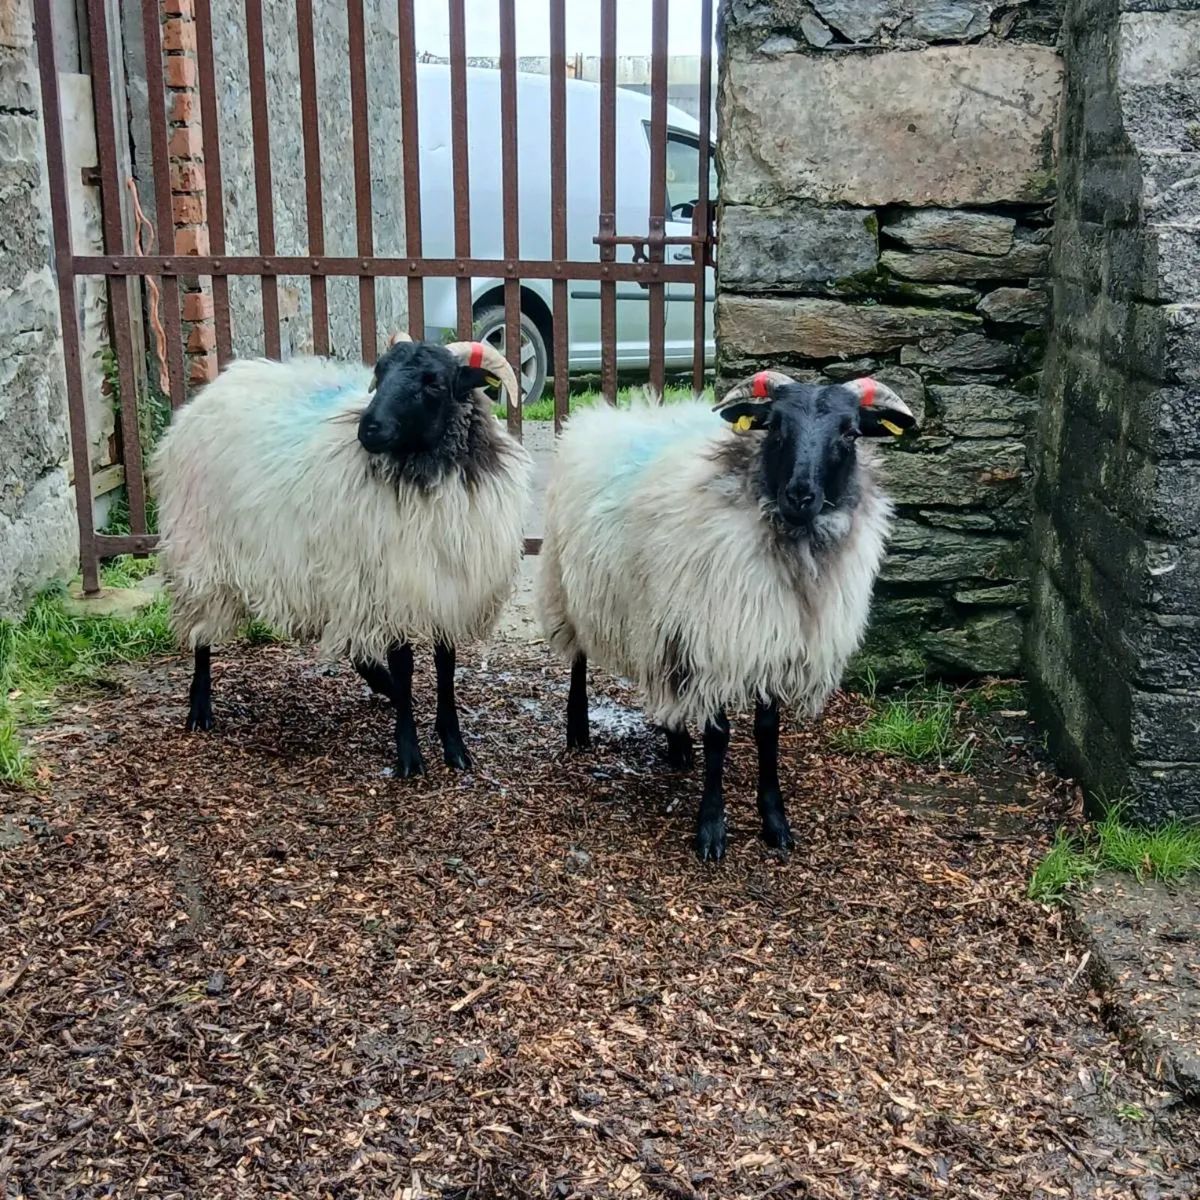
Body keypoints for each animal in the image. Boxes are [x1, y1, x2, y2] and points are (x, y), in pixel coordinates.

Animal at [148, 332, 533, 777]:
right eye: (380, 373)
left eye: (434, 383)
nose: (369, 428)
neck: (420, 474)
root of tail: (207, 395)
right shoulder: (387, 587)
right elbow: (405, 666)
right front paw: (409, 755)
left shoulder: (445, 587)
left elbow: (445, 665)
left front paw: (454, 747)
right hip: (200, 552)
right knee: (201, 635)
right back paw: (200, 709)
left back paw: (381, 685)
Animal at [534, 370, 917, 861]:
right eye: (775, 427)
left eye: (850, 433)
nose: (800, 495)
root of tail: (606, 412)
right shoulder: (713, 636)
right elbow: (718, 736)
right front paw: (712, 828)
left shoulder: (773, 640)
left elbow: (768, 732)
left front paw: (775, 821)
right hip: (568, 582)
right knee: (578, 658)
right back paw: (578, 728)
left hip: (655, 619)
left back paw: (677, 743)